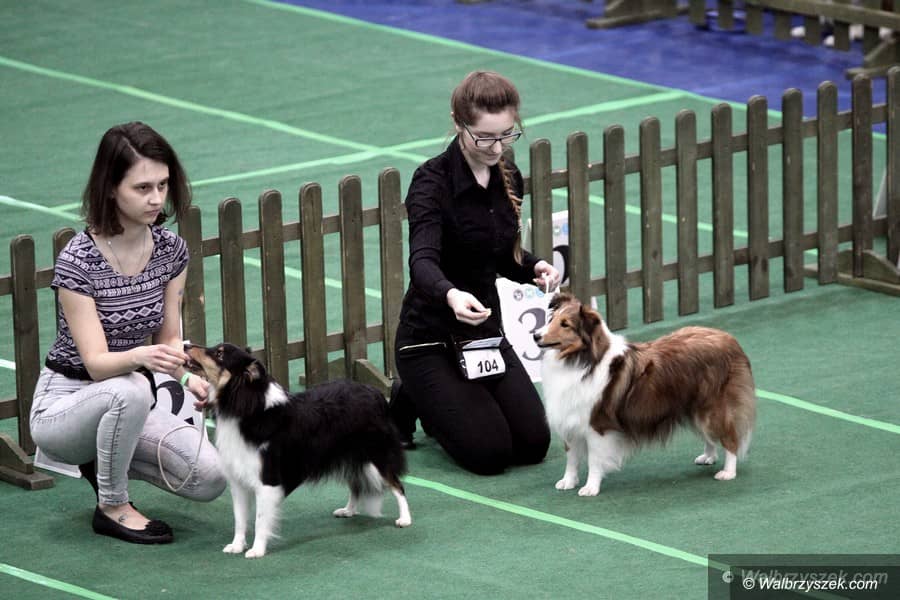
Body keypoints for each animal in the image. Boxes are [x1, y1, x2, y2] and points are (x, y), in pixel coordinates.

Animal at [185, 342, 412, 558]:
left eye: (220, 354)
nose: (186, 345)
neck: (246, 407)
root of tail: (375, 393)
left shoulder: (267, 480)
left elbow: (260, 519)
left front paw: (257, 550)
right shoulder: (238, 481)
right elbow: (239, 519)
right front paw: (237, 546)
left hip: (378, 455)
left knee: (397, 485)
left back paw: (405, 519)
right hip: (351, 456)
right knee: (356, 485)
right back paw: (348, 510)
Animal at [533, 293, 755, 496]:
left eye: (565, 324)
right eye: (551, 319)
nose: (535, 335)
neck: (581, 360)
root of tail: (729, 339)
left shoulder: (597, 425)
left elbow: (594, 460)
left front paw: (590, 488)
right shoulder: (570, 420)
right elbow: (571, 458)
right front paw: (568, 481)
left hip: (712, 409)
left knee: (730, 438)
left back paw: (728, 472)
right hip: (694, 407)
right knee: (710, 436)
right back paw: (708, 456)